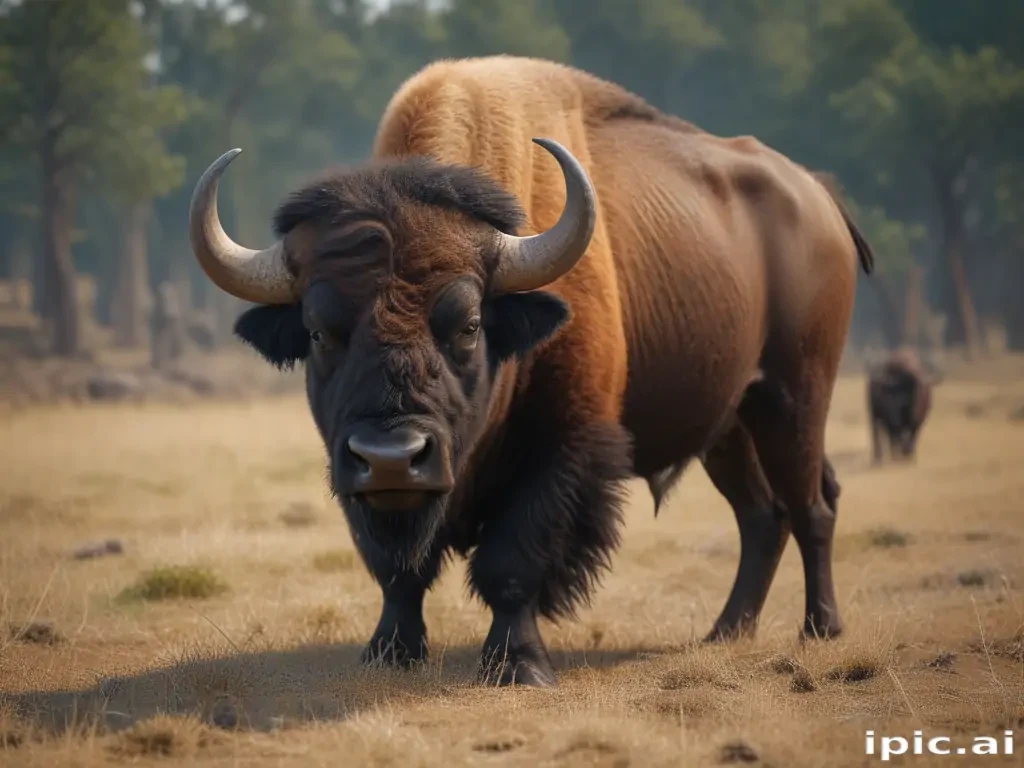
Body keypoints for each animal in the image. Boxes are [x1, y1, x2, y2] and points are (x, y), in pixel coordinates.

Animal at [187, 56, 874, 687]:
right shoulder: (355, 474)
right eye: (317, 331)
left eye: (468, 323)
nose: (392, 458)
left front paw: (519, 664)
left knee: (810, 506)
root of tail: (817, 196)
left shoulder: (561, 450)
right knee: (764, 515)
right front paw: (388, 652)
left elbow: (511, 562)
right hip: (728, 426)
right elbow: (397, 570)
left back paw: (820, 627)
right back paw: (725, 631)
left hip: (793, 398)